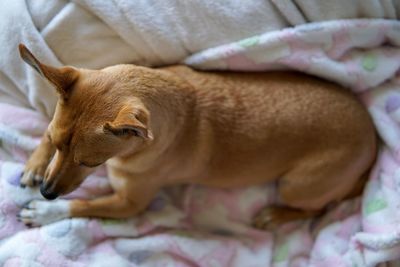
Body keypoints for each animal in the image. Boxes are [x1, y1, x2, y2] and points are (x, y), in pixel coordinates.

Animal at [17, 44, 376, 230]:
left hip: (296, 185)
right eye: (58, 144)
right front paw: (35, 165)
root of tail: (373, 139)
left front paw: (46, 212)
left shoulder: (129, 205)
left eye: (90, 163)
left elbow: (83, 204)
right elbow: (47, 137)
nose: (47, 192)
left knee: (321, 208)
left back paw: (275, 215)